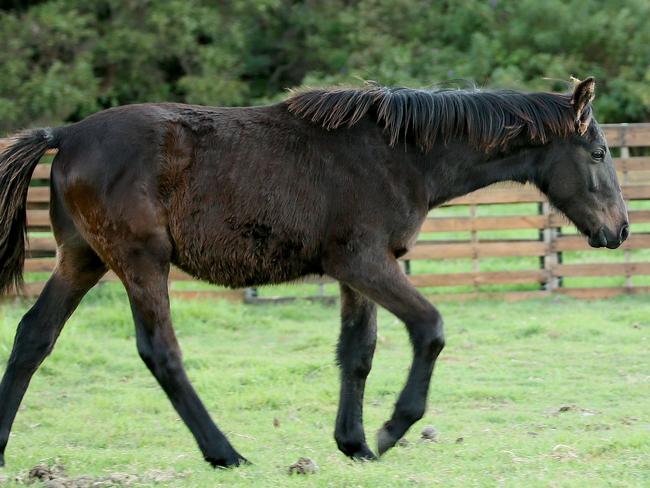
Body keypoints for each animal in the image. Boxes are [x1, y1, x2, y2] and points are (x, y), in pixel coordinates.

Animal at [0, 78, 628, 468]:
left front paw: (354, 444)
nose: (619, 230)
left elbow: (358, 351)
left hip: (82, 259)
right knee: (161, 351)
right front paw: (391, 430)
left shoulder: (357, 269)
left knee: (33, 336)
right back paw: (225, 452)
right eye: (598, 153)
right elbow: (430, 327)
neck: (402, 154)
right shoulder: (364, 261)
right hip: (139, 261)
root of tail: (66, 135)